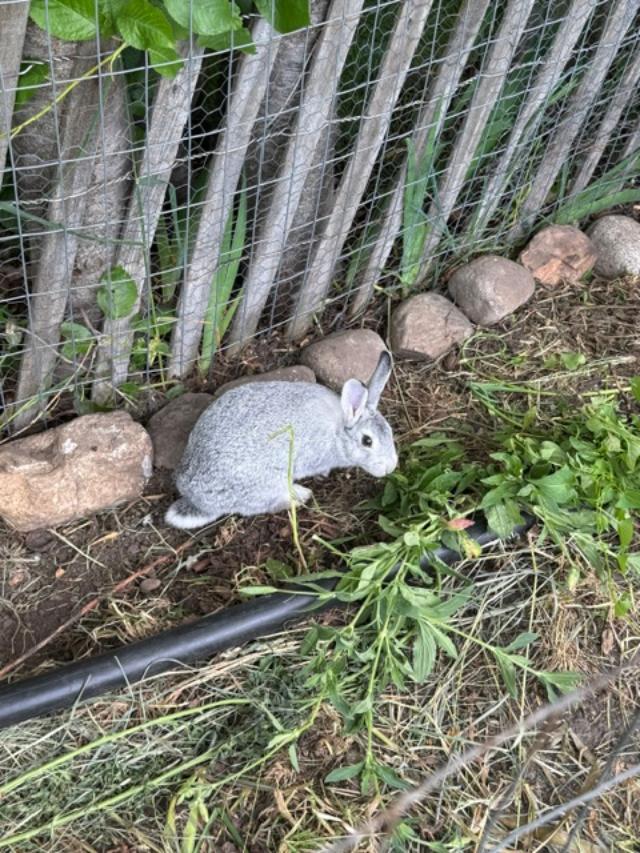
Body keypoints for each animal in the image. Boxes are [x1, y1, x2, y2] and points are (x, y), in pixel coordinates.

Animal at [165, 350, 398, 529]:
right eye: (367, 441)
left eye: (390, 431)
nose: (391, 467)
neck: (338, 430)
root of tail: (198, 500)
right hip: (267, 485)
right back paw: (302, 495)